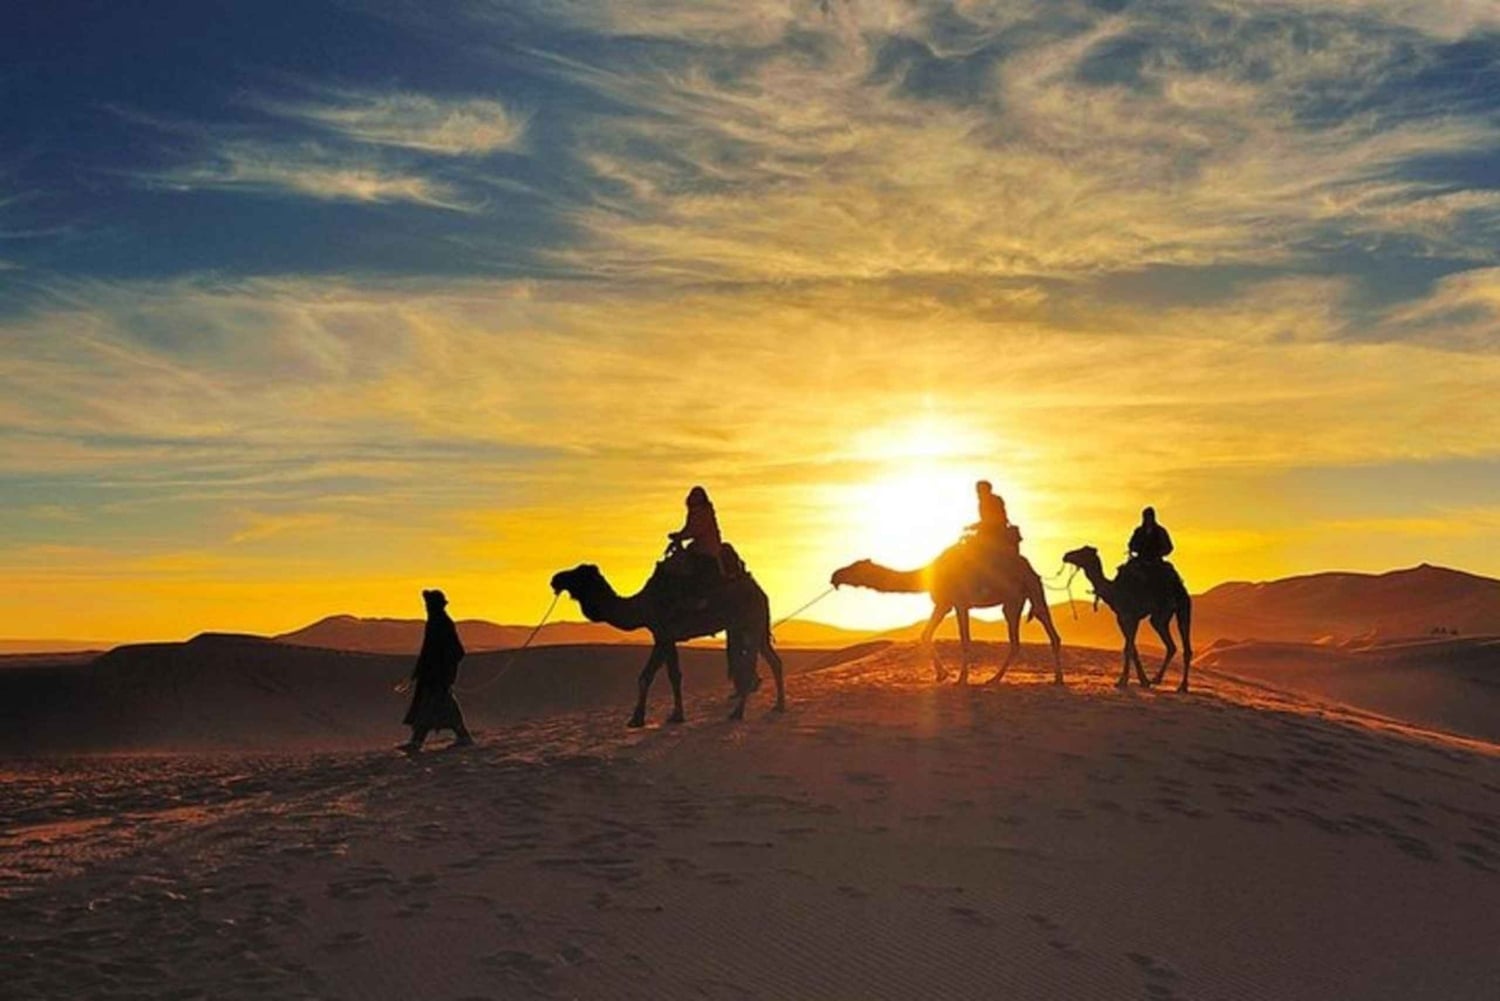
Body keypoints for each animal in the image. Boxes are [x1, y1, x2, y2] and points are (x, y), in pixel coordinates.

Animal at [550, 559, 786, 727]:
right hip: (752, 627)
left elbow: (646, 676)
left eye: (579, 573)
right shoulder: (668, 637)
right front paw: (676, 715)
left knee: (750, 665)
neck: (643, 605)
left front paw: (636, 719)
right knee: (773, 661)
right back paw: (779, 706)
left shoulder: (662, 635)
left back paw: (737, 713)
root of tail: (761, 592)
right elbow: (674, 675)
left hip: (749, 624)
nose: (555, 578)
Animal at [830, 541, 1063, 685]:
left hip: (1029, 591)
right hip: (1016, 600)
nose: (835, 575)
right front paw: (942, 674)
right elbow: (925, 634)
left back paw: (1053, 679)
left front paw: (961, 679)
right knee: (1025, 638)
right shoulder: (944, 603)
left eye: (856, 567)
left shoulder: (960, 602)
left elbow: (965, 640)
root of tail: (1030, 568)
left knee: (1041, 629)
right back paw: (1000, 679)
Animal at [1060, 546, 1193, 691]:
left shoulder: (1131, 616)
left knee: (1180, 646)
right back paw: (1159, 680)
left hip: (1173, 611)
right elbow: (1132, 648)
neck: (1113, 590)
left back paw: (1181, 686)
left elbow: (1128, 648)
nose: (1066, 555)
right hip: (1170, 614)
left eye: (1082, 552)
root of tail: (1181, 587)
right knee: (1173, 646)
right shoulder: (1121, 618)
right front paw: (1143, 681)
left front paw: (1122, 681)